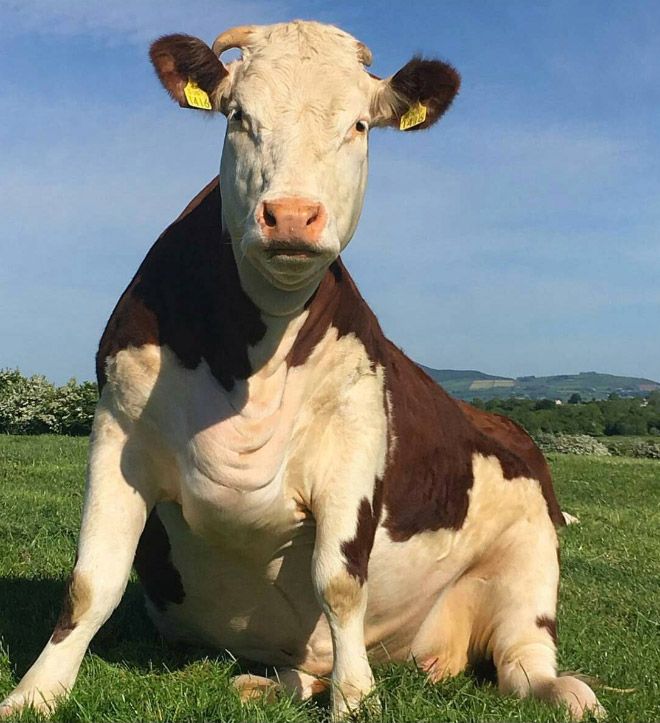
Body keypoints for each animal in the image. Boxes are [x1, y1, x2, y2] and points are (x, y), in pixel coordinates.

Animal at [1, 19, 604, 720]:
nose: (291, 214)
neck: (252, 363)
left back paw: (564, 689)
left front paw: (355, 699)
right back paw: (267, 683)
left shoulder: (356, 441)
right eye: (238, 116)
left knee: (521, 662)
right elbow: (90, 582)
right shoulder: (118, 430)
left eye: (360, 125)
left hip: (533, 551)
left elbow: (340, 582)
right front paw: (34, 693)